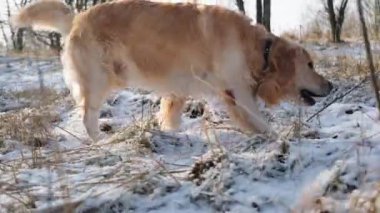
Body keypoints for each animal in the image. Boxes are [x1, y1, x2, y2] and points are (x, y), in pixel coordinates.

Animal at [12, 0, 332, 141]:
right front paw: (282, 137)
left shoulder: (180, 89)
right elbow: (260, 122)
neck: (258, 49)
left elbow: (171, 115)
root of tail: (77, 19)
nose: (331, 86)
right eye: (310, 65)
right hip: (98, 80)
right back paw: (101, 142)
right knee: (87, 117)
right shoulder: (237, 92)